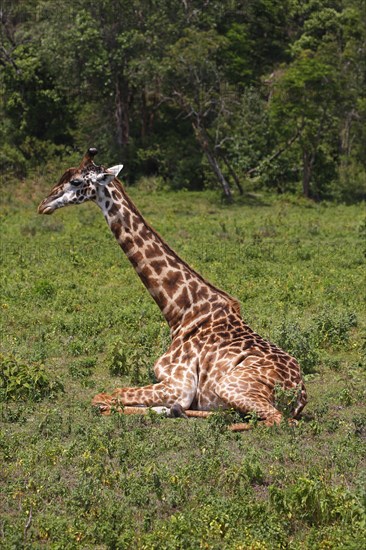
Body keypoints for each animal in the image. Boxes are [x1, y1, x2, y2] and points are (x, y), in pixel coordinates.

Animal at [38, 150, 306, 426]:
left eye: (76, 181)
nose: (43, 205)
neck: (180, 311)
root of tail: (298, 397)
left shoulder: (180, 385)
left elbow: (101, 397)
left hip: (233, 387)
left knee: (276, 419)